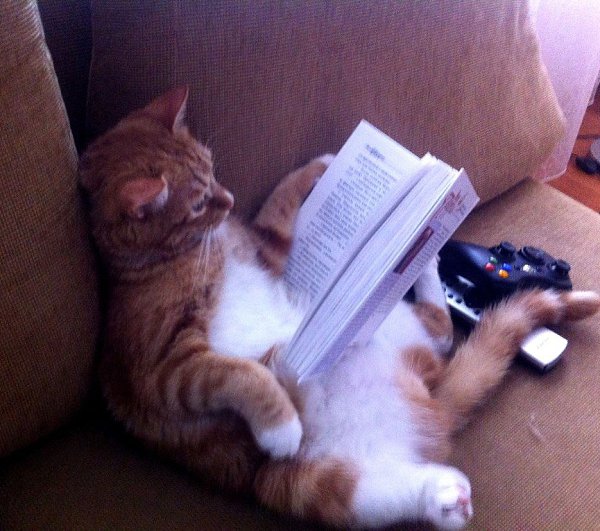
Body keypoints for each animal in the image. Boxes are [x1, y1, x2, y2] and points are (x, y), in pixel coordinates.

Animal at [79, 86, 600, 529]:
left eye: (214, 172)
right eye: (197, 204)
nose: (229, 200)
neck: (187, 253)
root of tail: (428, 404)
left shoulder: (268, 249)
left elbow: (281, 202)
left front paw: (322, 165)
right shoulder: (163, 370)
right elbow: (236, 374)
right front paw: (280, 422)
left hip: (391, 334)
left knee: (440, 330)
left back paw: (424, 257)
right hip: (297, 483)